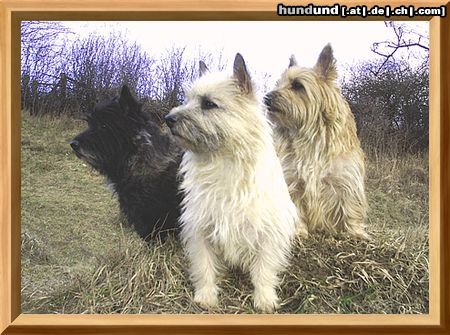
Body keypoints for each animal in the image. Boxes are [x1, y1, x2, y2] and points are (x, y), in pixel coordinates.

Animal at [264, 43, 370, 240]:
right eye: (278, 84)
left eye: (297, 85)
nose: (267, 98)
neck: (308, 133)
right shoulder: (293, 181)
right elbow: (296, 209)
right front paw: (299, 231)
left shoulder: (345, 180)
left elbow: (350, 206)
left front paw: (355, 232)